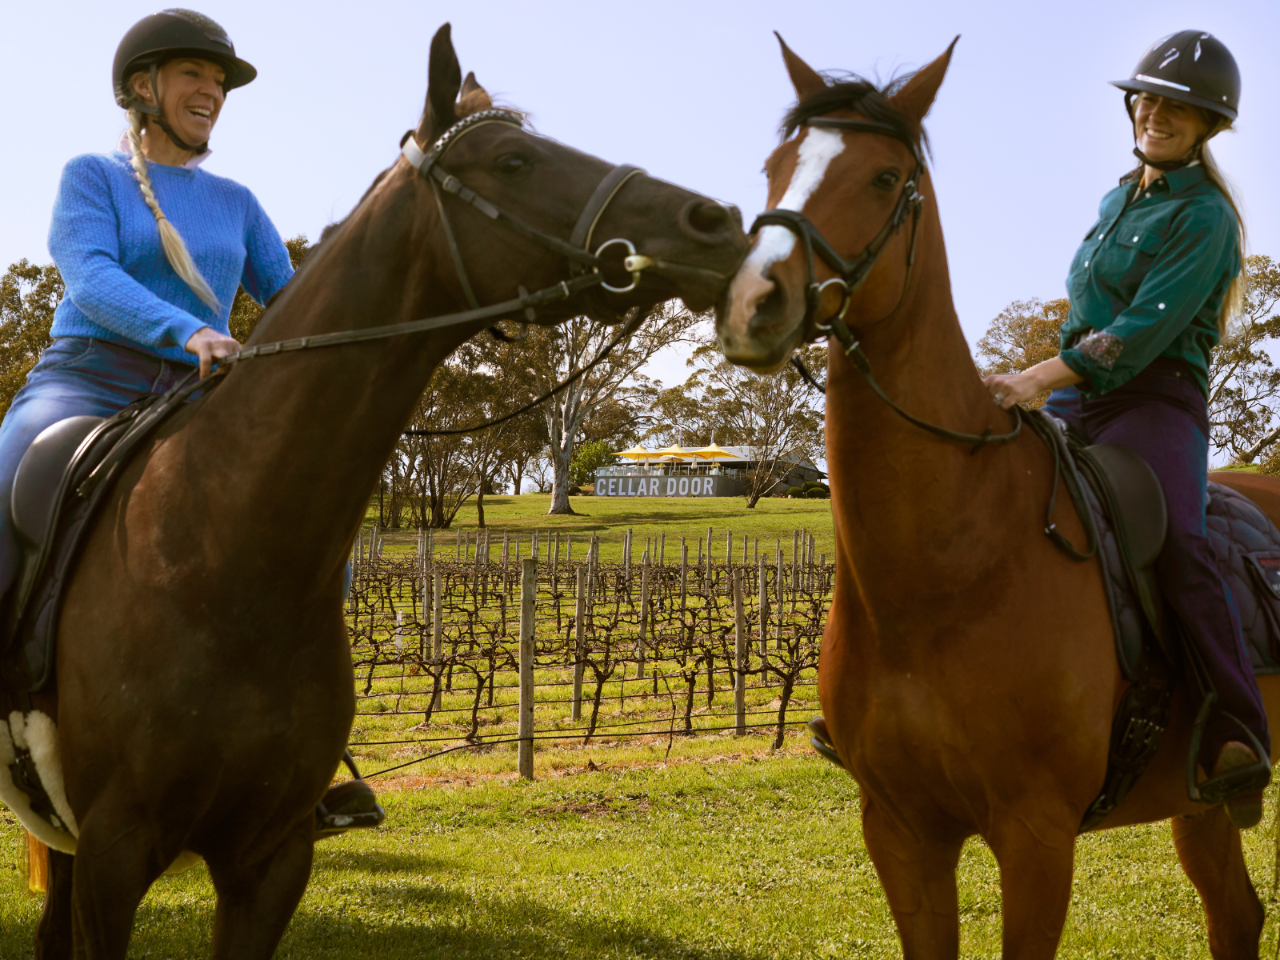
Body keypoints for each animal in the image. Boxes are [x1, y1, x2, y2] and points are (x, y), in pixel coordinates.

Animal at [715, 36, 1278, 959]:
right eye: (776, 166)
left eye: (883, 177)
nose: (753, 304)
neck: (950, 563)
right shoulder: (901, 832)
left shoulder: (1036, 837)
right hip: (1200, 805)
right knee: (1235, 916)